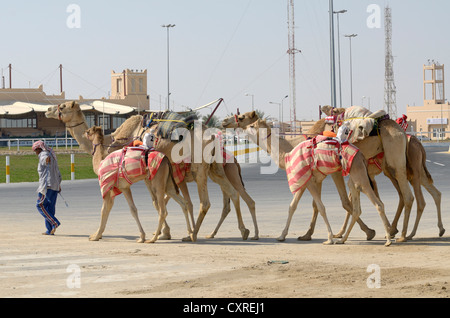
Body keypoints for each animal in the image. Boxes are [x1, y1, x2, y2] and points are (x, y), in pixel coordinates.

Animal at [223, 112, 392, 246]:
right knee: (357, 206)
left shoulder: (309, 181)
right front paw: (282, 236)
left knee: (376, 203)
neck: (286, 154)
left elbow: (321, 207)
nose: (225, 122)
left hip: (358, 176)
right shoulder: (304, 180)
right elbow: (293, 206)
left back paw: (387, 238)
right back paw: (353, 237)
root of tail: (361, 155)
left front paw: (329, 238)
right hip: (355, 177)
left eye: (244, 119)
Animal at [322, 105, 444, 240]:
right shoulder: (366, 176)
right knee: (433, 193)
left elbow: (350, 201)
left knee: (412, 198)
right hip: (410, 171)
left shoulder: (361, 175)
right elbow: (356, 200)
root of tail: (417, 142)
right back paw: (438, 229)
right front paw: (341, 233)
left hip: (404, 167)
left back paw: (405, 234)